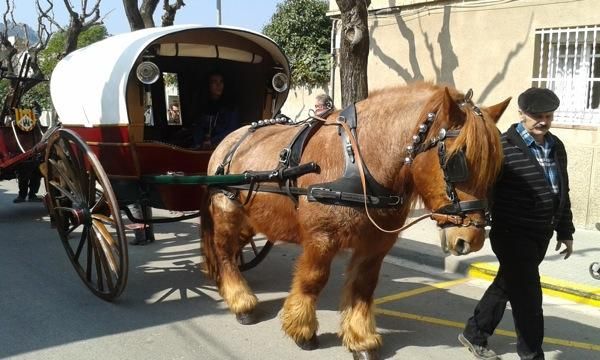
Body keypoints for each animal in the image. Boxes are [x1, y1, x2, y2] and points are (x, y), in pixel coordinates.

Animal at [200, 83, 506, 358]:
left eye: (494, 169)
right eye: (456, 162)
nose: (471, 240)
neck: (358, 163)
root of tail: (229, 141)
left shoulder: (375, 245)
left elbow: (363, 286)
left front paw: (361, 339)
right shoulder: (321, 239)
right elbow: (312, 280)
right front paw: (303, 331)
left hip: (251, 219)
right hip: (227, 211)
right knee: (224, 251)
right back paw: (241, 302)